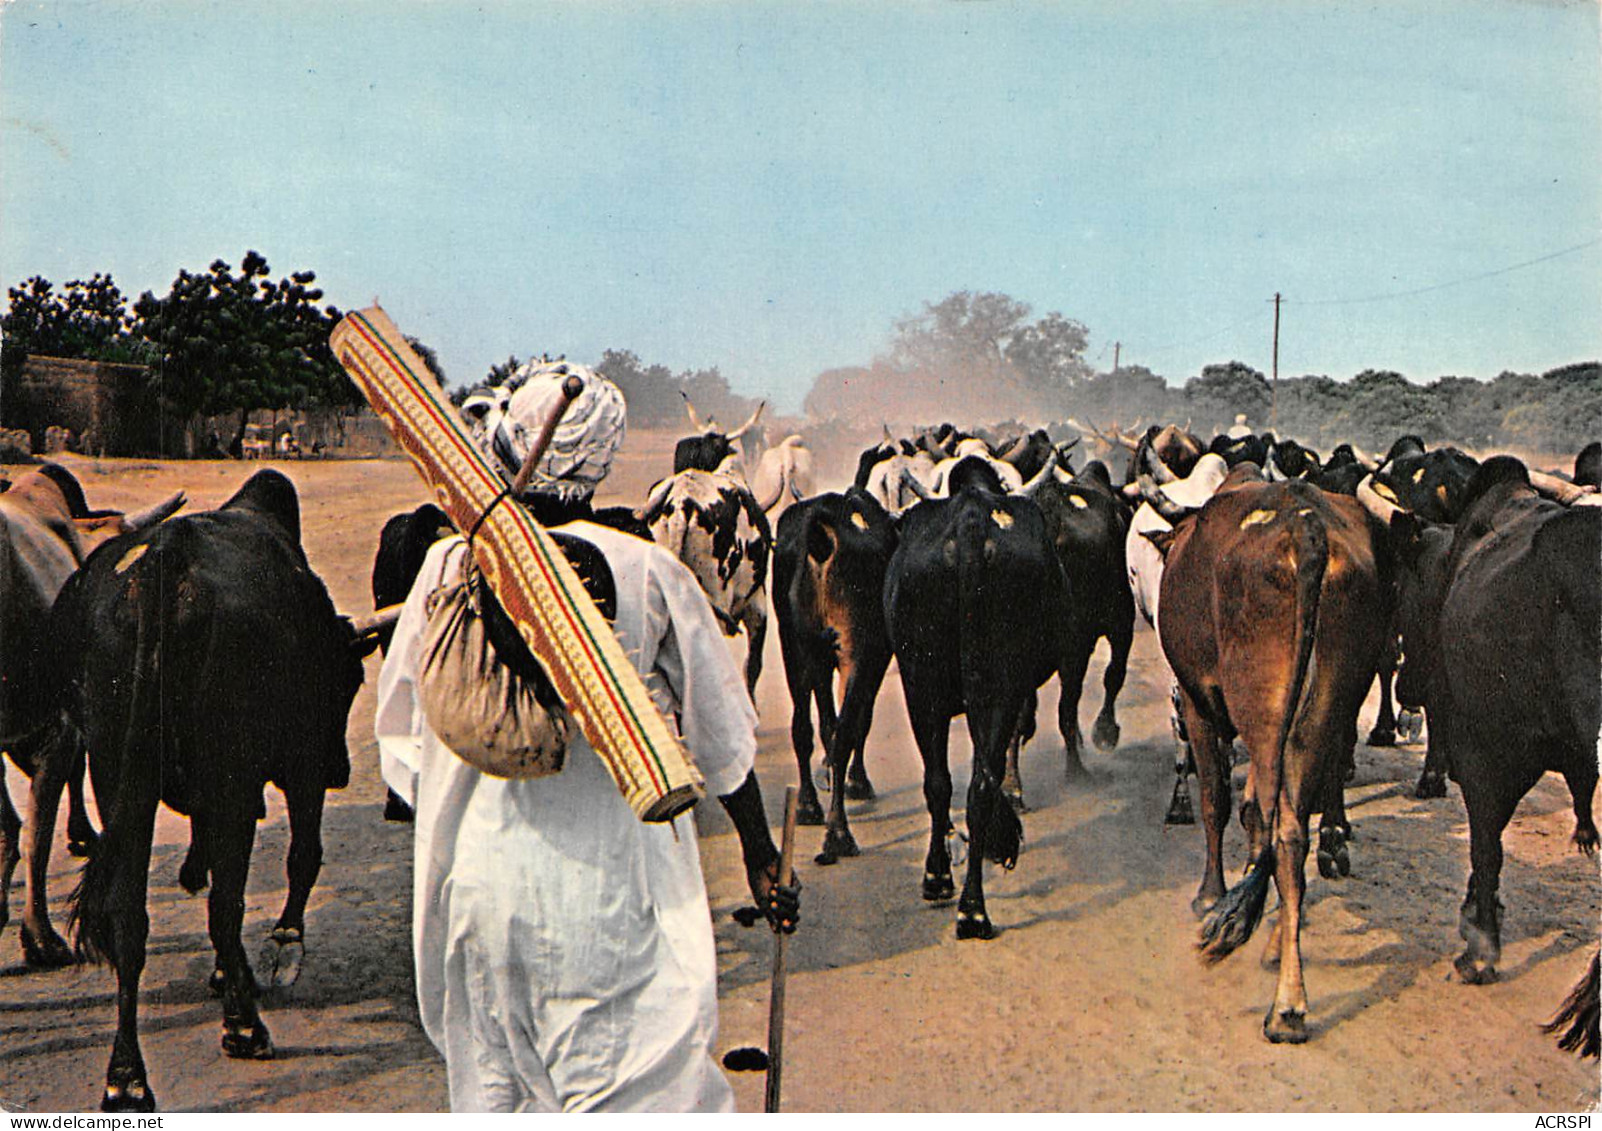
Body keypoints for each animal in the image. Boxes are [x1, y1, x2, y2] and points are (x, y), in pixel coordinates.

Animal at [36, 467, 386, 1108]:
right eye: (351, 679)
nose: (342, 770)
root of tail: (164, 563)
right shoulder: (296, 765)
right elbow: (302, 857)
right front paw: (275, 950)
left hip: (117, 773)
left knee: (129, 917)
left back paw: (127, 1076)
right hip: (233, 776)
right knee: (226, 903)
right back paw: (243, 1025)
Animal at [775, 483, 903, 852]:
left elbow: (825, 724)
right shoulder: (875, 655)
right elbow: (860, 721)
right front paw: (856, 781)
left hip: (794, 643)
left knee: (802, 728)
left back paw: (807, 805)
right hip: (853, 650)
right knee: (845, 731)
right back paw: (838, 833)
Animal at [884, 454, 1070, 935]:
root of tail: (971, 522)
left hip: (923, 685)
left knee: (943, 783)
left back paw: (946, 886)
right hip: (990, 685)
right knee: (974, 784)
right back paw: (971, 905)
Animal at [1153, 467, 1390, 1038]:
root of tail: (1307, 531)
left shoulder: (1197, 701)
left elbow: (1216, 800)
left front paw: (1210, 895)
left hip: (1261, 711)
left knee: (1276, 823)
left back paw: (1285, 1002)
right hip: (1325, 709)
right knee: (1293, 830)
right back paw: (1283, 951)